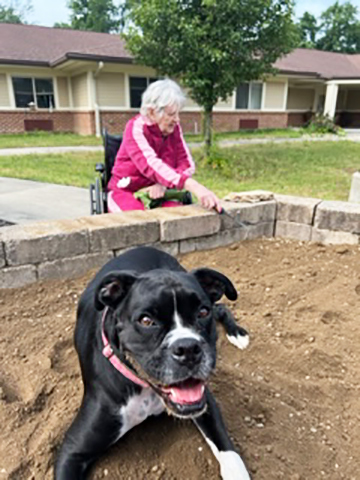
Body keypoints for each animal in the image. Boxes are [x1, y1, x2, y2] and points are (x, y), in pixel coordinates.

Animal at [54, 246, 250, 478]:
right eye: (146, 321)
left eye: (202, 312)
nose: (188, 348)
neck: (145, 390)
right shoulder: (73, 450)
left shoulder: (206, 403)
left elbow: (231, 454)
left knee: (221, 307)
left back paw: (238, 333)